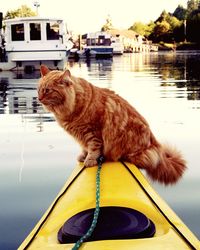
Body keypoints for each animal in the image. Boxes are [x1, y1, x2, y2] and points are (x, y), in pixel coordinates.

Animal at [37, 65, 186, 185]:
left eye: (48, 90)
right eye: (39, 89)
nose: (39, 98)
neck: (72, 107)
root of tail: (157, 147)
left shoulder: (92, 132)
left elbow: (93, 148)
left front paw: (89, 160)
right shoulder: (82, 135)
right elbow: (85, 148)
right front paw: (83, 156)